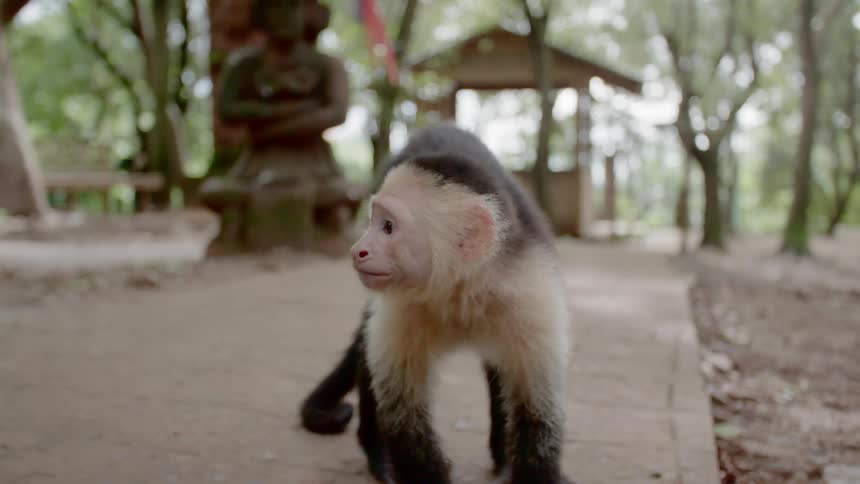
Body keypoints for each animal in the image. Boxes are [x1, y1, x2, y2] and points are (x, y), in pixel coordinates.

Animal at [300, 124, 572, 484]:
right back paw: (377, 453)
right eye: (373, 221)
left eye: (389, 227)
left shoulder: (529, 295)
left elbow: (536, 413)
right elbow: (403, 414)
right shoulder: (401, 309)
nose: (358, 250)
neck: (461, 288)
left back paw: (502, 456)